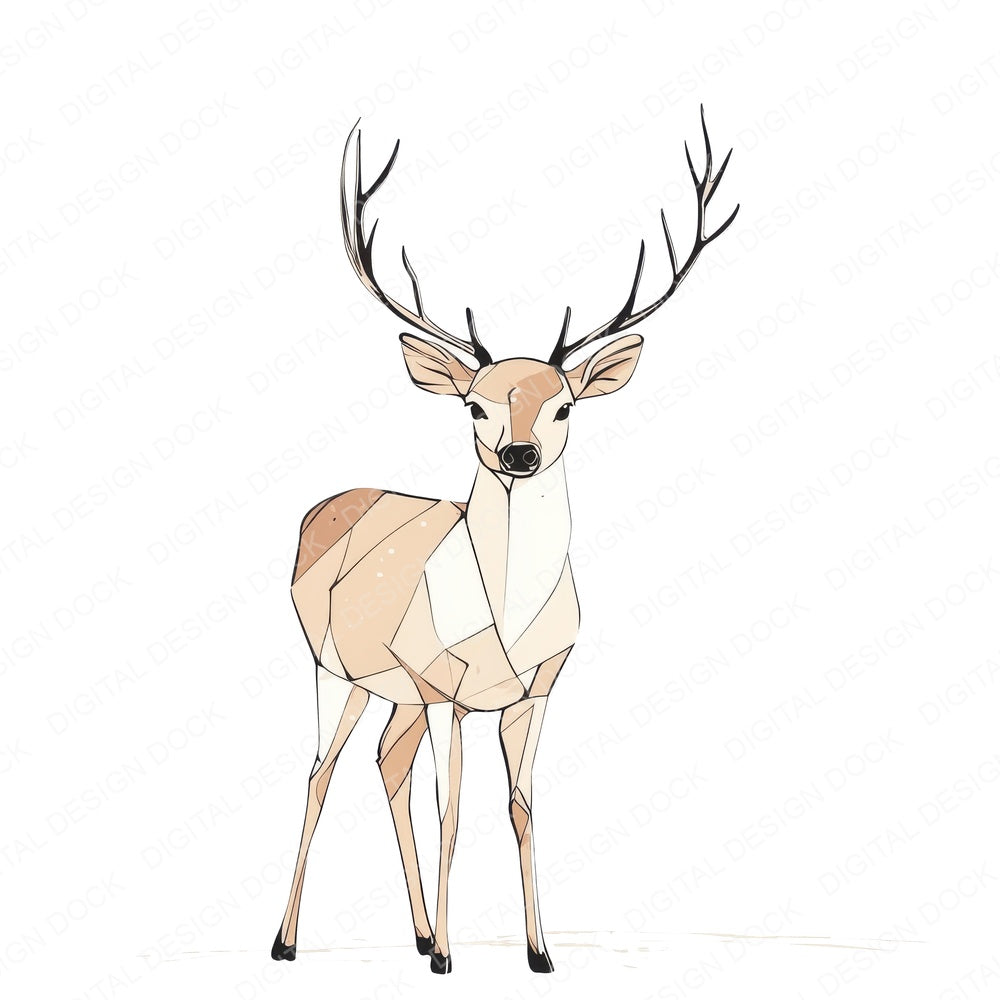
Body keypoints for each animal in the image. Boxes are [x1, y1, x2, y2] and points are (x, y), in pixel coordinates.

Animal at [272, 108, 739, 975]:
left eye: (564, 406)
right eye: (474, 406)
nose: (518, 454)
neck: (509, 623)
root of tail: (323, 508)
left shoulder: (535, 692)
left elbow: (522, 807)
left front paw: (538, 952)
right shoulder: (450, 692)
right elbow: (453, 811)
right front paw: (453, 960)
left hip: (399, 693)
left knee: (385, 763)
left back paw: (420, 934)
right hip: (335, 669)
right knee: (321, 772)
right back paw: (289, 942)